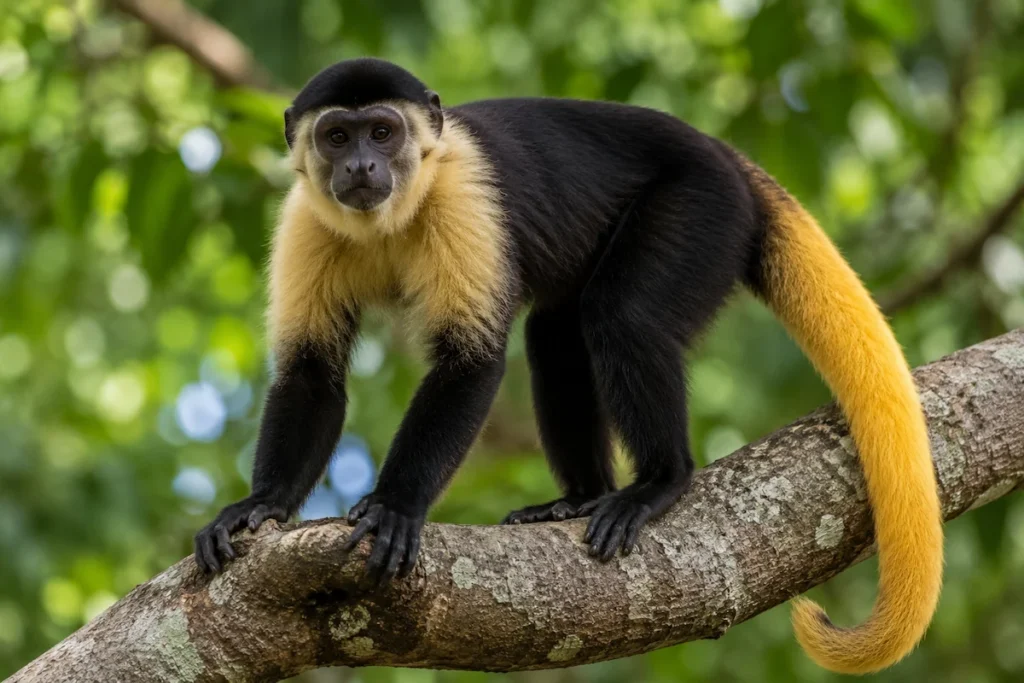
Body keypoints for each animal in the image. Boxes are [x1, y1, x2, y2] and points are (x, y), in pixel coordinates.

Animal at [193, 58, 943, 674]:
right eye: (337, 138)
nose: (360, 168)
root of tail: (723, 155)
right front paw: (262, 506)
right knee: (556, 335)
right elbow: (312, 373)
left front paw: (395, 506)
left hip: (704, 206)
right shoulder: (304, 220)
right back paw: (580, 493)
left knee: (621, 317)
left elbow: (472, 362)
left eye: (382, 132)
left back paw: (660, 481)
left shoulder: (464, 196)